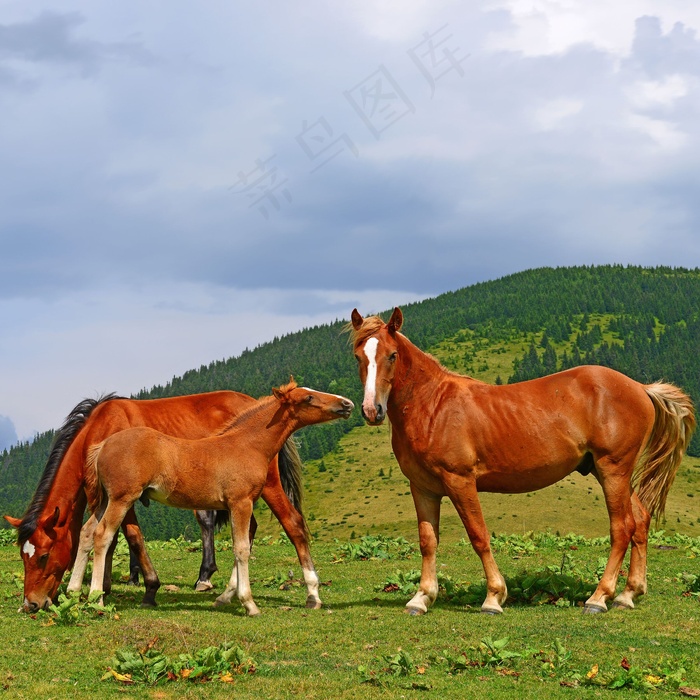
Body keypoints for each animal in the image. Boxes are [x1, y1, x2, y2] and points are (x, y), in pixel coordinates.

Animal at [3, 392, 306, 608]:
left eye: (44, 556)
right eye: (22, 556)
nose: (30, 604)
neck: (100, 429)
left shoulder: (126, 496)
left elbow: (131, 536)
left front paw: (148, 587)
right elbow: (110, 538)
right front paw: (106, 586)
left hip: (268, 485)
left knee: (290, 522)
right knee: (249, 528)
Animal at [84, 380, 352, 616]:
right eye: (308, 398)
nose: (346, 403)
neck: (247, 444)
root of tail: (102, 446)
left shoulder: (239, 504)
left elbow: (242, 544)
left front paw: (227, 596)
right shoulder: (240, 502)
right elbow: (242, 549)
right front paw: (249, 604)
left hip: (106, 500)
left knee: (87, 532)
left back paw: (78, 588)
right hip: (121, 499)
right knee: (103, 534)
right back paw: (96, 598)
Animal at [350, 308, 696, 616]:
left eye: (392, 355)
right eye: (358, 357)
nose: (371, 410)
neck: (433, 405)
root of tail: (640, 388)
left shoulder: (460, 481)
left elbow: (478, 535)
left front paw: (494, 597)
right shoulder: (423, 488)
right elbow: (427, 541)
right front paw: (421, 598)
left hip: (614, 470)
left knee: (622, 528)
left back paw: (599, 598)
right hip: (607, 472)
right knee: (640, 520)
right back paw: (628, 594)